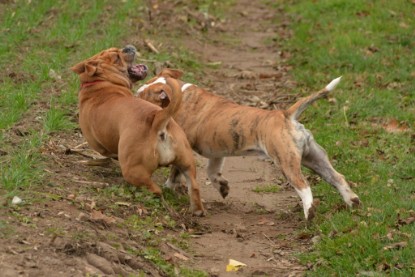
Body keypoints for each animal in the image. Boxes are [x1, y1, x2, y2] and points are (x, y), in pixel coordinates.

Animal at [72, 47, 207, 216]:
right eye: (117, 57)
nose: (127, 48)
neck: (99, 83)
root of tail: (157, 119)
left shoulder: (97, 143)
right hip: (187, 161)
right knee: (193, 186)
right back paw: (197, 210)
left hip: (133, 170)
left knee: (154, 189)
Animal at [136, 69, 360, 220]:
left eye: (141, 95)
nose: (132, 96)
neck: (180, 95)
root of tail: (285, 115)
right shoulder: (217, 153)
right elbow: (212, 172)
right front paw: (223, 187)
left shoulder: (183, 148)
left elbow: (176, 171)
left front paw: (168, 187)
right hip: (314, 158)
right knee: (337, 177)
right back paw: (352, 202)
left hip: (287, 162)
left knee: (303, 186)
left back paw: (310, 212)